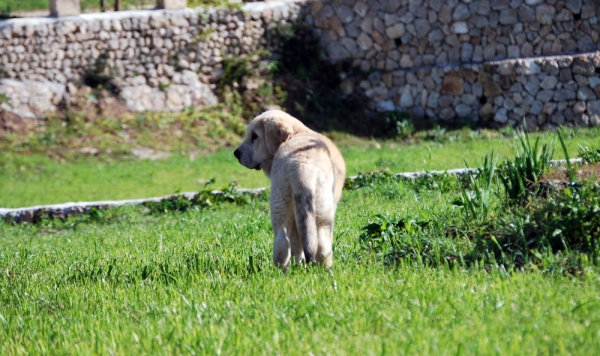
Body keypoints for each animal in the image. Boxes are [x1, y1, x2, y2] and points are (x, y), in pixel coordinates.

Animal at [234, 110, 346, 268]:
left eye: (254, 136)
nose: (236, 153)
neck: (297, 134)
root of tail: (301, 165)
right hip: (322, 209)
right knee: (321, 245)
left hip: (281, 202)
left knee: (283, 242)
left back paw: (284, 269)